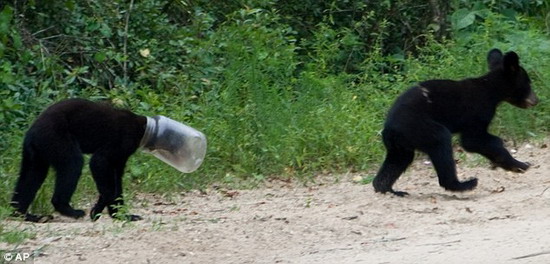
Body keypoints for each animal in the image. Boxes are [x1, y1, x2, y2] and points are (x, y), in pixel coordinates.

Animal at [11, 98, 148, 222]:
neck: (143, 129)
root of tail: (31, 132)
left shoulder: (122, 155)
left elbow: (117, 178)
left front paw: (123, 215)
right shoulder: (123, 140)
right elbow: (99, 162)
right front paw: (97, 210)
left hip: (37, 152)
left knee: (32, 175)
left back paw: (26, 215)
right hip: (56, 137)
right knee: (72, 164)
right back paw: (71, 210)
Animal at [376, 49, 540, 196]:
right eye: (528, 82)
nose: (536, 100)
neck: (490, 89)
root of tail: (389, 128)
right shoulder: (478, 110)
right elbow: (473, 140)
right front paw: (521, 164)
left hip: (401, 144)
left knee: (398, 160)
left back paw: (389, 190)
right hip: (418, 127)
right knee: (440, 142)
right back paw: (464, 184)